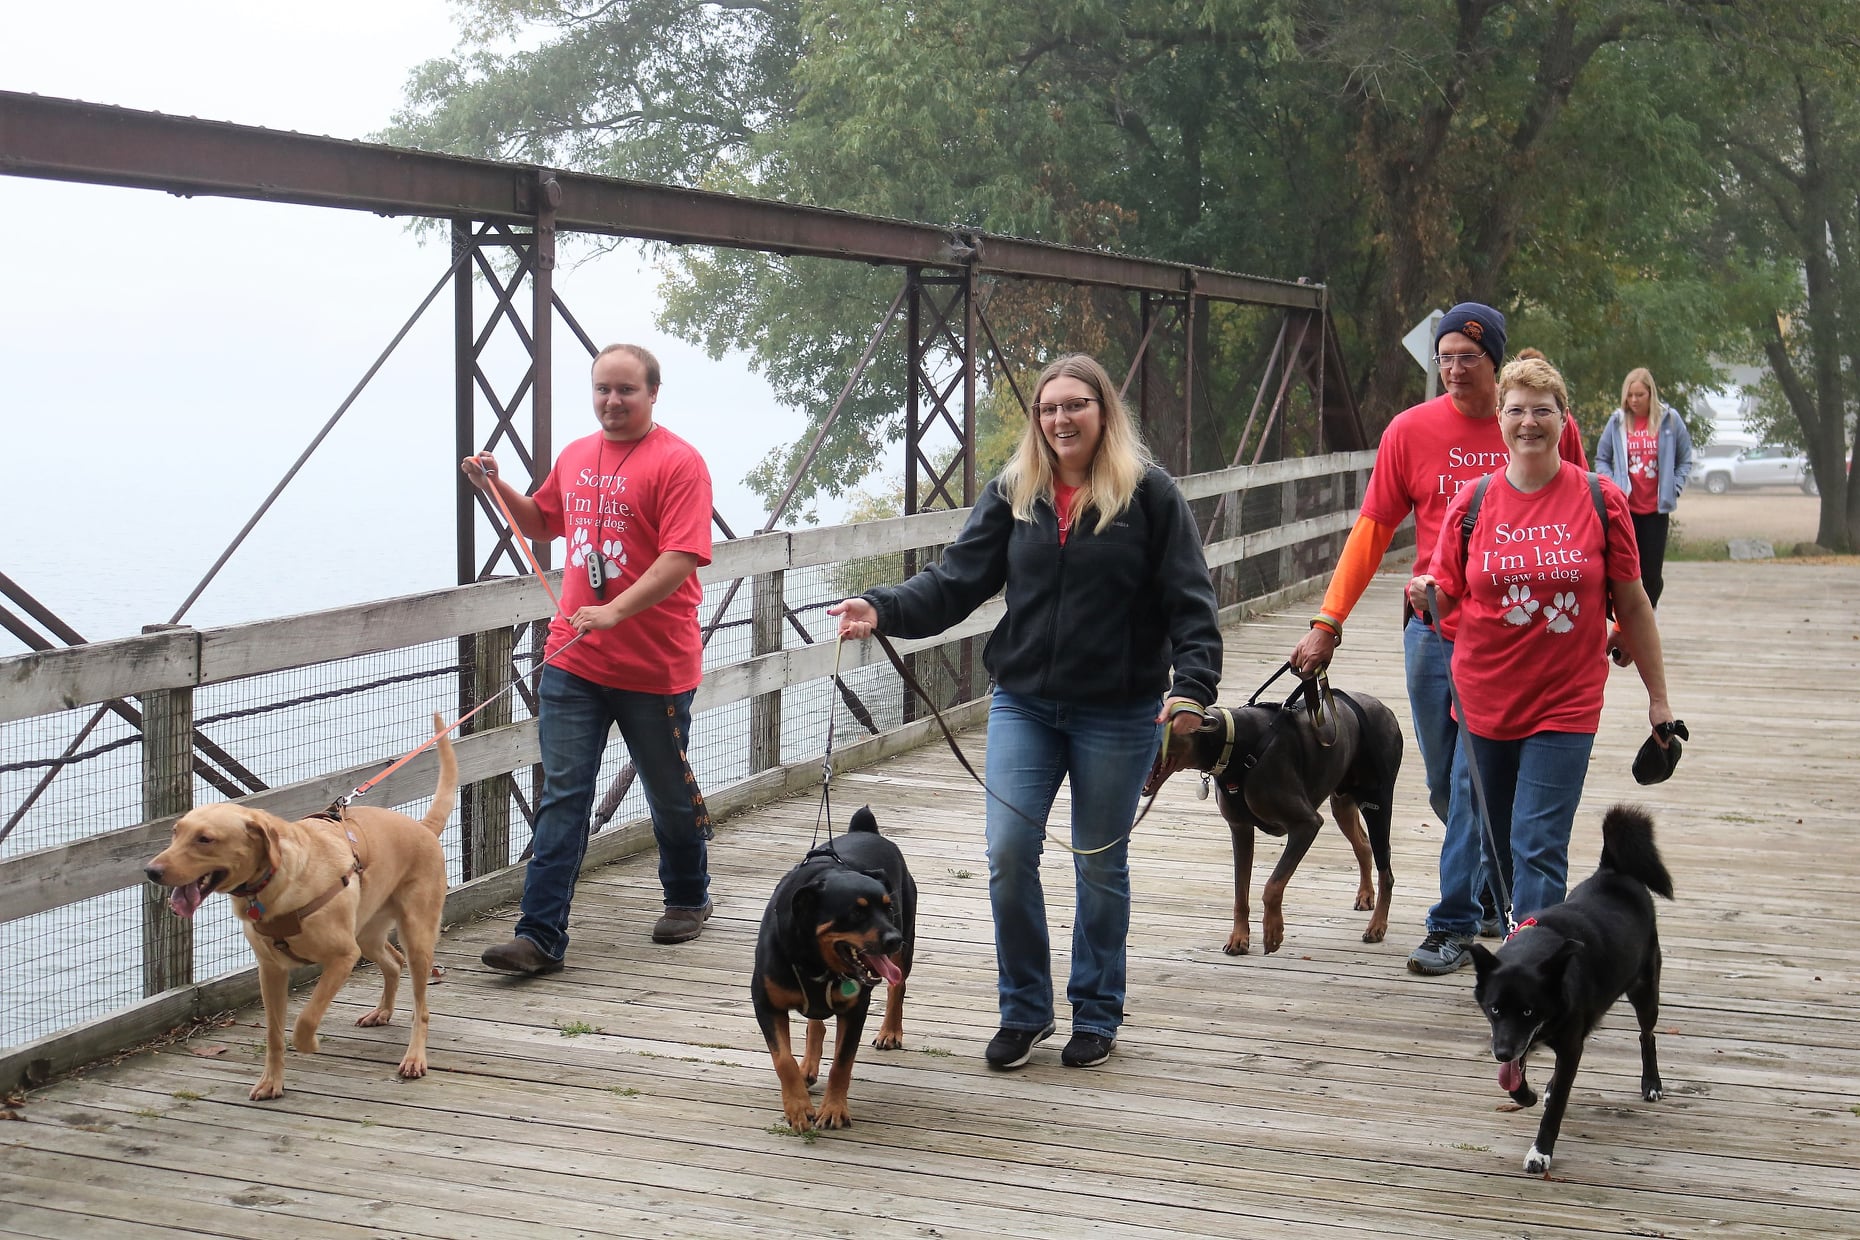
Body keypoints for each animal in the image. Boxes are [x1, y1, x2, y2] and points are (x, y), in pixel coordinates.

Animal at [145, 713, 457, 1100]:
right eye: (175, 832)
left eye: (205, 839)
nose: (151, 871)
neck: (273, 885)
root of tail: (423, 828)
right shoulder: (271, 969)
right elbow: (274, 1033)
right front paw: (271, 1081)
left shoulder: (342, 957)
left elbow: (305, 1019)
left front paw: (310, 1044)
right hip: (367, 933)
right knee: (392, 962)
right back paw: (381, 1012)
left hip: (415, 935)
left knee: (420, 1005)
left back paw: (414, 1057)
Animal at [744, 806, 911, 1137]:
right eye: (856, 912)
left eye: (888, 908)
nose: (894, 938)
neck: (815, 961)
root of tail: (867, 831)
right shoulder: (765, 1003)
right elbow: (783, 1060)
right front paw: (798, 1109)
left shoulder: (856, 1009)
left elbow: (842, 1063)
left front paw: (833, 1110)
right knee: (815, 1023)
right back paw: (808, 1066)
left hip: (904, 951)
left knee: (897, 986)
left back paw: (889, 1032)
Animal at [1138, 684, 1398, 959]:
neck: (1232, 745)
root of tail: (1384, 708)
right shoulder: (1240, 828)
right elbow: (1240, 892)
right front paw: (1239, 938)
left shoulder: (1306, 824)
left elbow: (1272, 885)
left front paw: (1273, 933)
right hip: (1342, 800)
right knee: (1363, 844)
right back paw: (1365, 895)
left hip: (1377, 799)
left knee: (1386, 870)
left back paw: (1377, 926)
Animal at [1473, 806, 1681, 1174]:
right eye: (1494, 1009)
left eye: (1528, 1010)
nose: (1501, 1054)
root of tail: (1612, 871)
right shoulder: (1520, 1037)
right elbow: (1518, 1079)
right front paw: (1526, 1095)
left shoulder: (1565, 1046)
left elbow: (1556, 1107)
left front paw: (1540, 1153)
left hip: (1645, 991)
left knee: (1647, 1035)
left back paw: (1651, 1084)